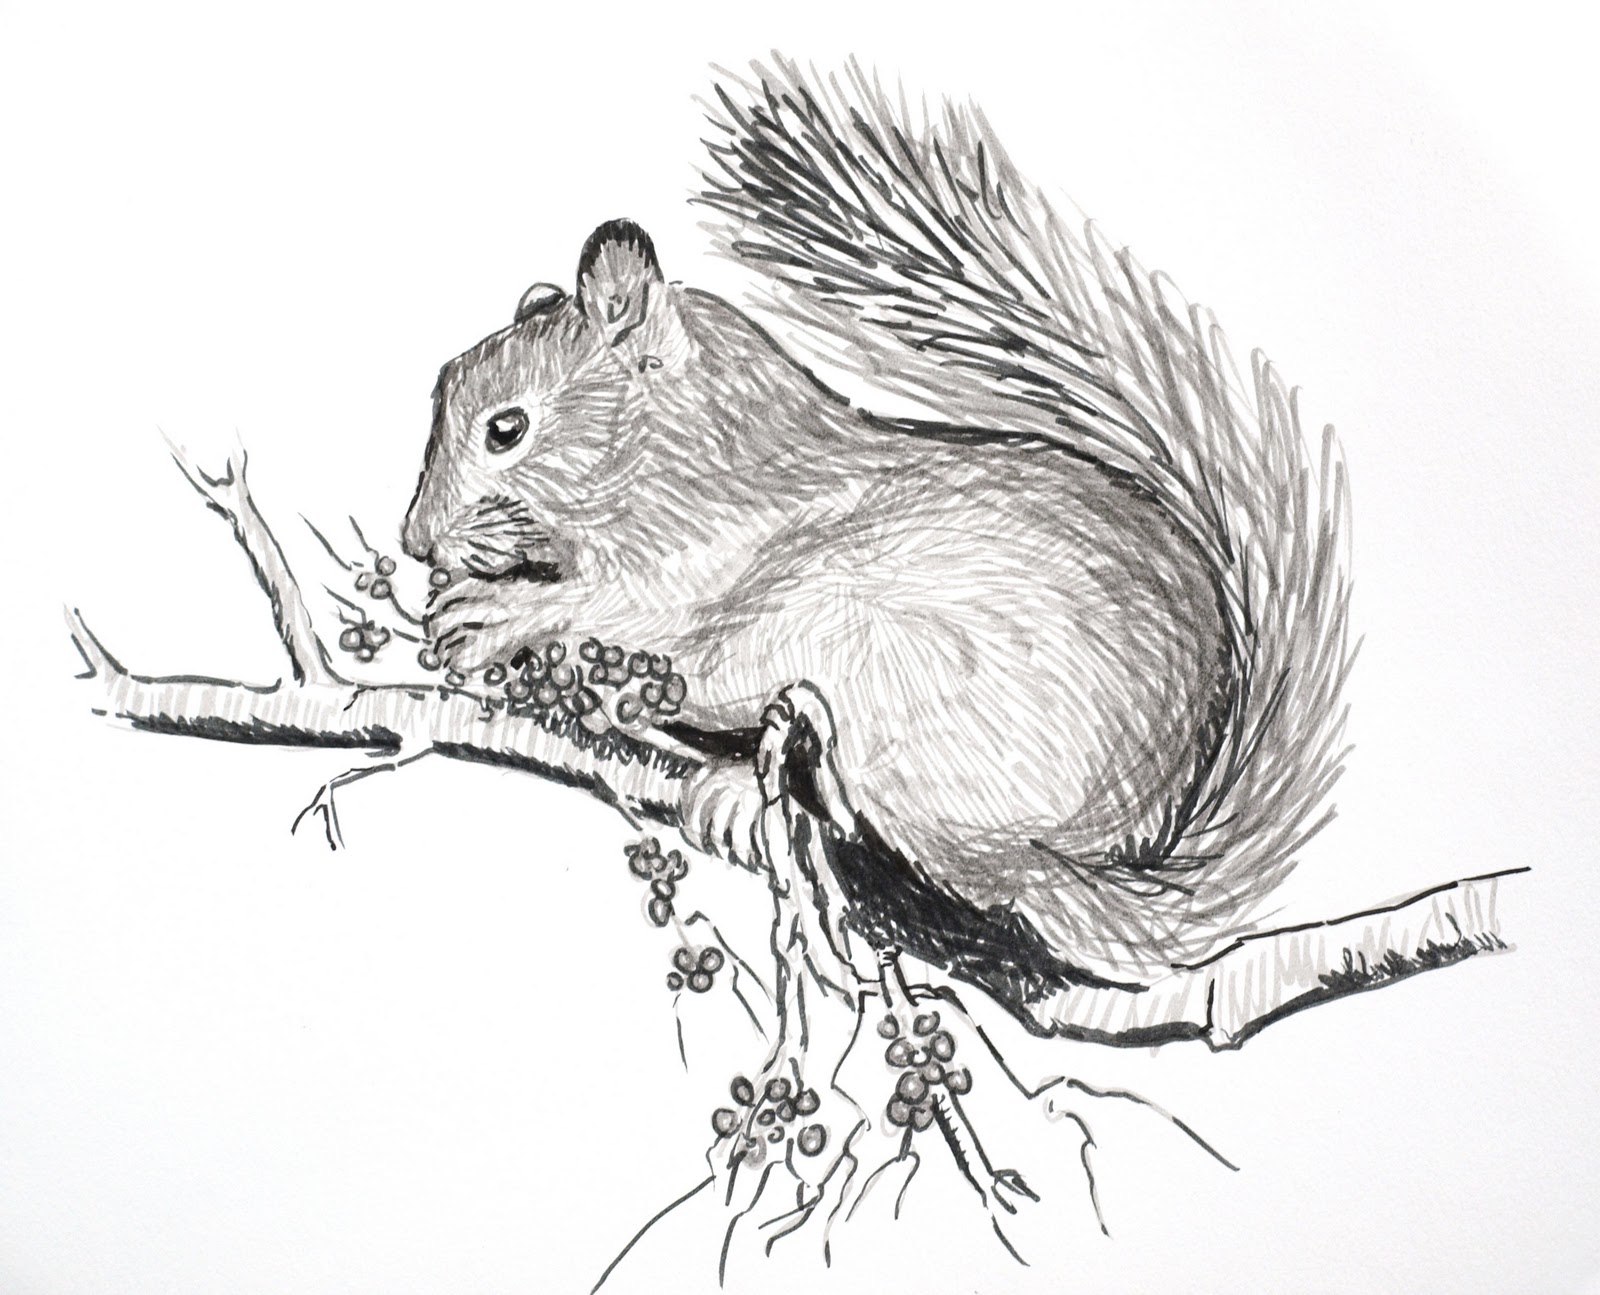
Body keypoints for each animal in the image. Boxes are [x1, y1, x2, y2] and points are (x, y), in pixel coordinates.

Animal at [399, 59, 1351, 1032]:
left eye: (507, 428)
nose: (415, 539)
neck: (677, 449)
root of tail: (1104, 864)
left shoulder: (699, 553)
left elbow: (624, 615)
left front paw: (496, 614)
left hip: (891, 693)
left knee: (922, 848)